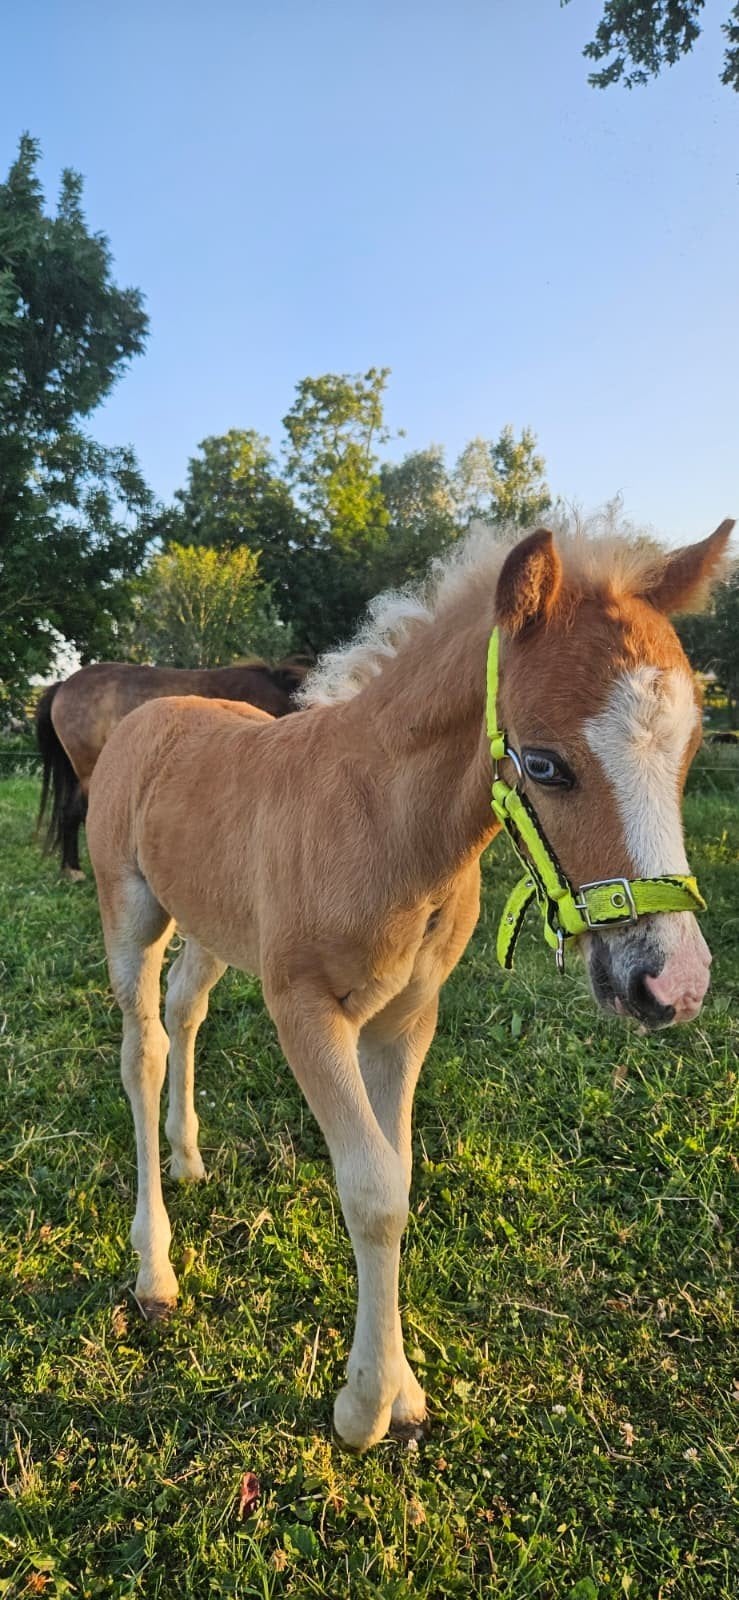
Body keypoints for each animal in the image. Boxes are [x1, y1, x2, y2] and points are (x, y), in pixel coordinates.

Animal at [85, 519, 732, 1452]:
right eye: (545, 764)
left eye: (687, 752)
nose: (671, 983)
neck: (382, 821)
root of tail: (151, 712)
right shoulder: (304, 1009)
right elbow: (372, 1192)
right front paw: (363, 1409)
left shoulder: (405, 1017)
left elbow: (398, 1174)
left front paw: (404, 1392)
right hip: (130, 911)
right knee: (143, 1050)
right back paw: (155, 1273)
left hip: (213, 922)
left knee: (186, 1007)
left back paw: (189, 1157)